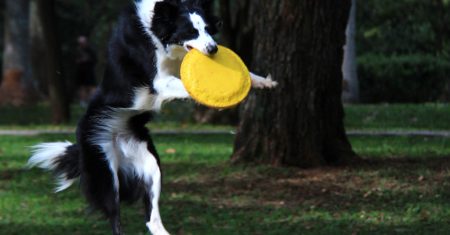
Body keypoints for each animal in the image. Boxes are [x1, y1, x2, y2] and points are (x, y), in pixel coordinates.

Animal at [28, 0, 276, 234]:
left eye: (207, 28)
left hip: (150, 165)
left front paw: (261, 81)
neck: (157, 29)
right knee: (114, 216)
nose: (214, 48)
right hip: (104, 169)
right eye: (191, 32)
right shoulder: (158, 80)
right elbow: (186, 85)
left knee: (151, 219)